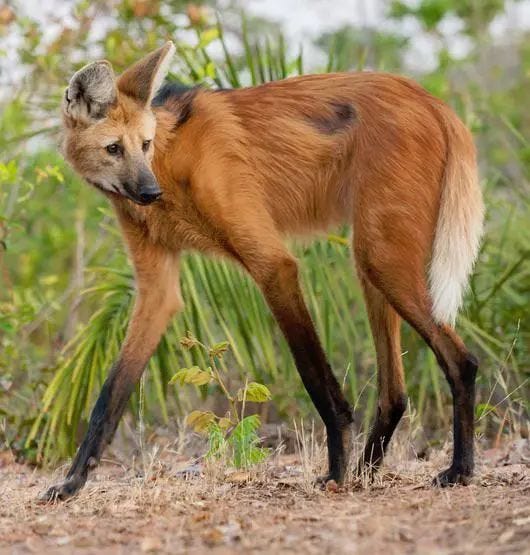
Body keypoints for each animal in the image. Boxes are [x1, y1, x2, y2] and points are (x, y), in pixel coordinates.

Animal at [42, 42, 482, 504]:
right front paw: (72, 482)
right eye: (114, 149)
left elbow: (313, 376)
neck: (170, 162)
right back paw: (368, 472)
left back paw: (458, 469)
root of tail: (432, 100)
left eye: (143, 145)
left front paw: (334, 473)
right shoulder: (156, 290)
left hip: (381, 258)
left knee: (462, 361)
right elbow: (111, 392)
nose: (149, 192)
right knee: (395, 393)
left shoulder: (274, 265)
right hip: (371, 261)